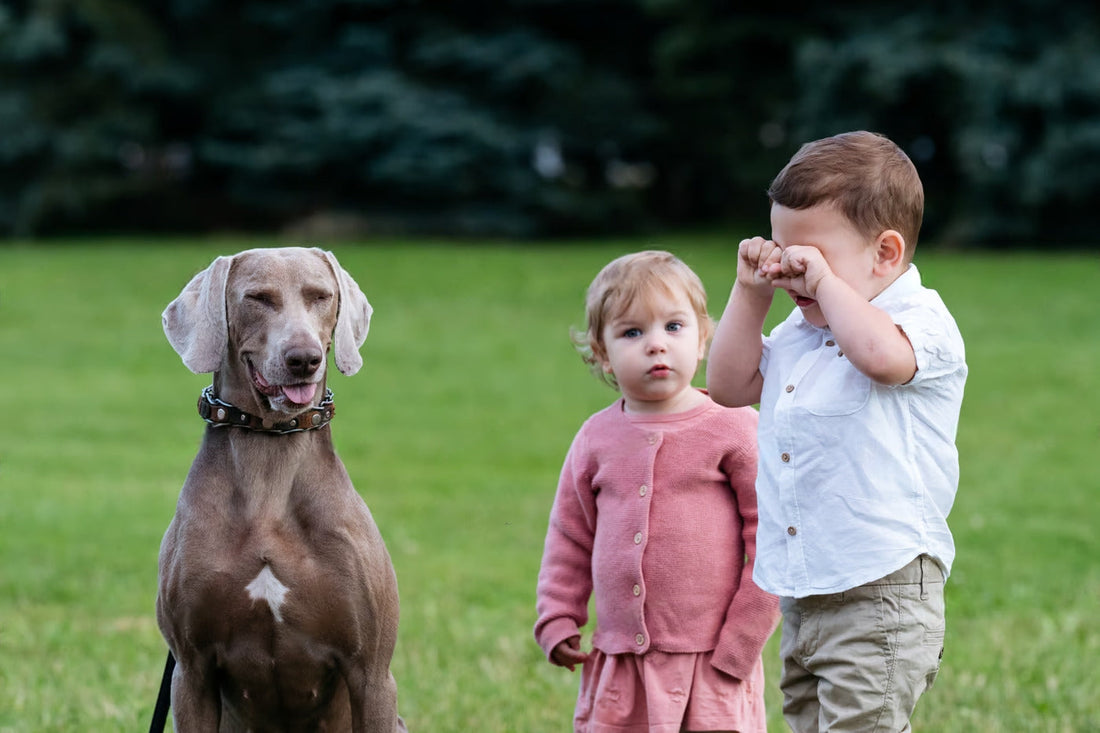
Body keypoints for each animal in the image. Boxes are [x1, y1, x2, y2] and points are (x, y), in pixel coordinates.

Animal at [159, 246, 404, 730]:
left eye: (321, 296)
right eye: (258, 298)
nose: (303, 358)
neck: (271, 446)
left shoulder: (372, 673)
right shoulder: (190, 670)